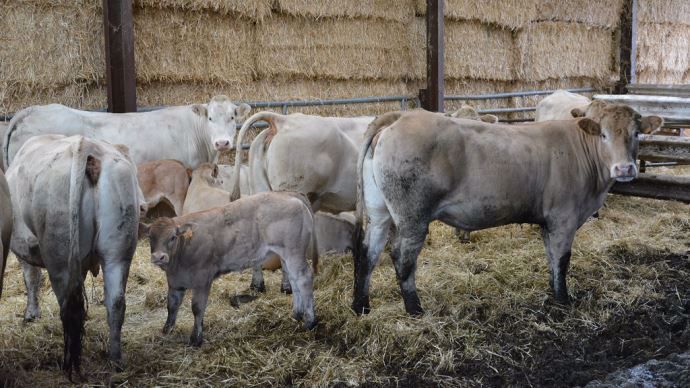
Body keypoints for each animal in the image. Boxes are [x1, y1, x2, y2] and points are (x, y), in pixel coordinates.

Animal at [6, 134, 140, 378]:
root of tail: (86, 146)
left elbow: (31, 278)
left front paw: (31, 313)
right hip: (118, 253)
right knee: (116, 303)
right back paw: (115, 360)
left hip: (60, 258)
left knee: (69, 307)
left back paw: (69, 365)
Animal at [142, 191, 320, 346]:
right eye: (150, 237)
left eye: (172, 237)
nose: (159, 257)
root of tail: (289, 195)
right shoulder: (175, 282)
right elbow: (172, 305)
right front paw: (166, 331)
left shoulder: (202, 279)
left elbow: (197, 308)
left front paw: (196, 339)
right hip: (287, 254)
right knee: (294, 279)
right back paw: (296, 314)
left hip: (293, 251)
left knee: (304, 279)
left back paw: (310, 322)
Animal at [354, 106, 660, 316]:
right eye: (604, 134)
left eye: (636, 133)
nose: (624, 168)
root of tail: (401, 117)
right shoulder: (564, 217)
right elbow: (563, 259)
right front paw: (564, 301)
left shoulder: (548, 221)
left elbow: (551, 258)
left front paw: (553, 291)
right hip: (412, 216)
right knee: (402, 258)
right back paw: (415, 310)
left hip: (379, 211)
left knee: (367, 252)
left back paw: (361, 306)